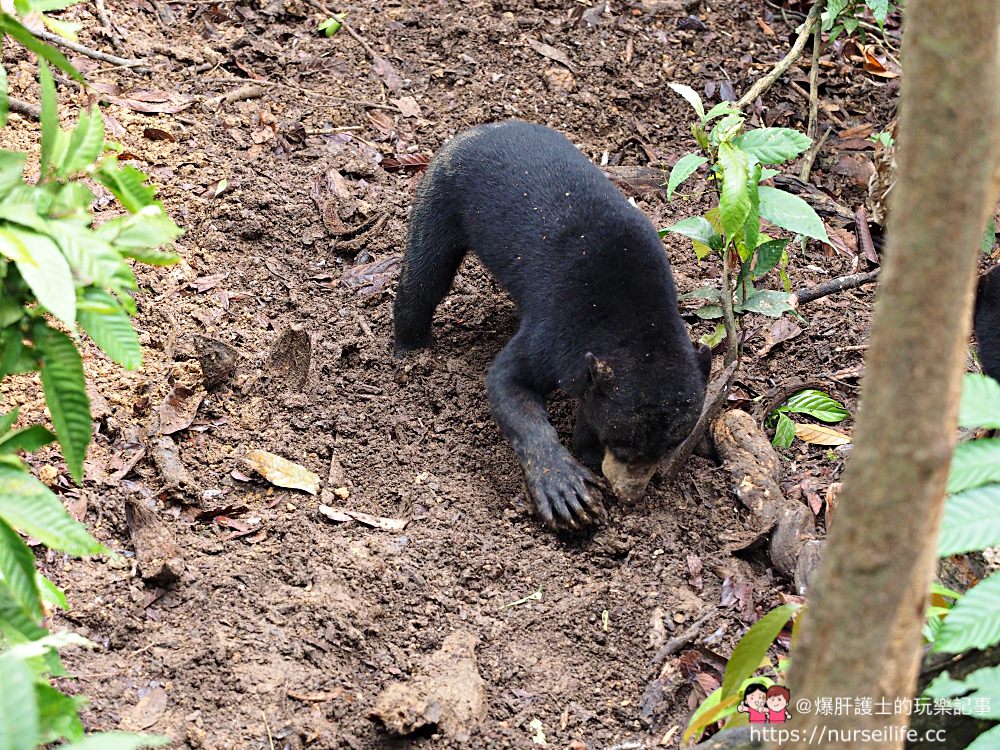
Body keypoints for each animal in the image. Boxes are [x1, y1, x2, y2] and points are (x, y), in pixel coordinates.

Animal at [392, 122, 712, 528]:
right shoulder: (557, 332)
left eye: (669, 446)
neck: (635, 319)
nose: (629, 495)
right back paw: (411, 348)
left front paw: (586, 451)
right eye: (621, 445)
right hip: (443, 194)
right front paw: (567, 489)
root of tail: (481, 129)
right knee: (425, 275)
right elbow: (508, 383)